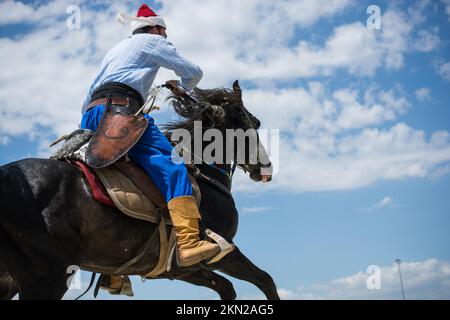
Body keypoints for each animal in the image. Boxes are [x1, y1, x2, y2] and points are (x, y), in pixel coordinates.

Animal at [0, 80, 280, 300]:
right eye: (251, 122)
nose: (265, 169)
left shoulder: (183, 270)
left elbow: (227, 288)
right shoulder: (223, 252)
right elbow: (265, 280)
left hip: (12, 280)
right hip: (49, 277)